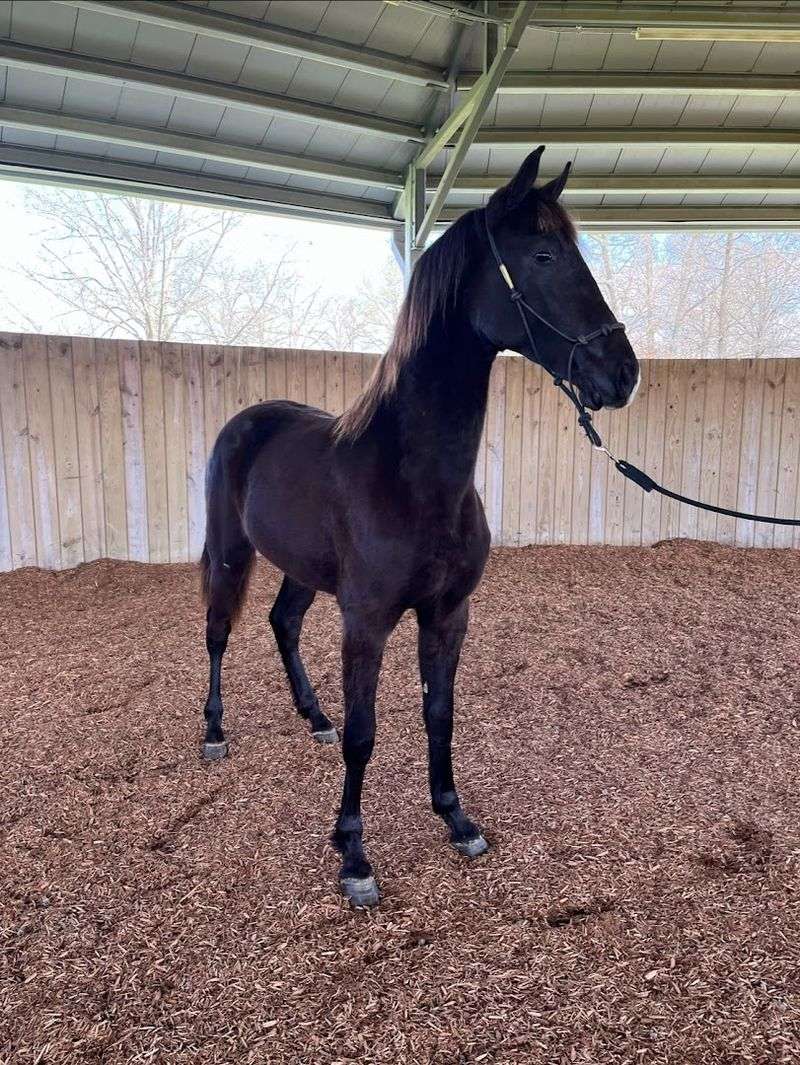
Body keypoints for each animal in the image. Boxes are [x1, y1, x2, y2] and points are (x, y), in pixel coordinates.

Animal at [199, 146, 640, 907]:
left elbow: (440, 712)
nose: (622, 372)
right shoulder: (367, 618)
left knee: (284, 623)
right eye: (545, 255)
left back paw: (311, 716)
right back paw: (216, 730)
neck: (415, 478)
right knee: (220, 630)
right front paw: (353, 856)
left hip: (299, 568)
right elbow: (365, 733)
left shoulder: (448, 612)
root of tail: (248, 420)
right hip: (231, 551)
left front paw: (455, 817)